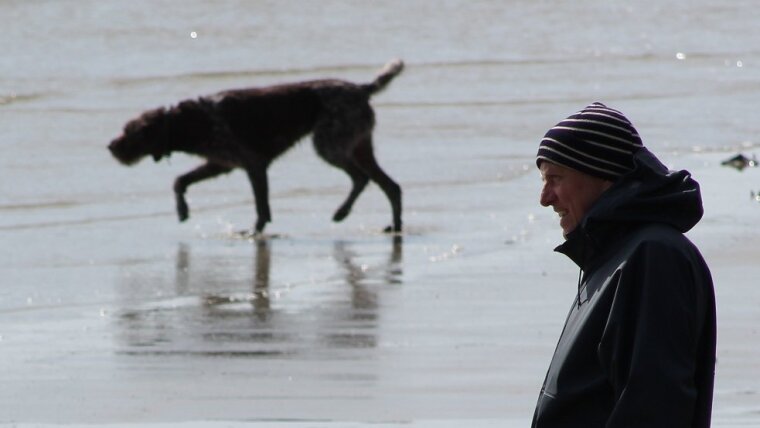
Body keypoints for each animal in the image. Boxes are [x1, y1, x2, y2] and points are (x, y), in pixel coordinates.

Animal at [108, 59, 404, 234]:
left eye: (130, 132)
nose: (110, 146)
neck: (188, 122)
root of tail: (361, 89)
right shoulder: (221, 163)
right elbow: (179, 181)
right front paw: (182, 210)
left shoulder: (254, 164)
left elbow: (261, 208)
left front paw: (255, 232)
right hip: (359, 147)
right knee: (391, 186)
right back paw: (395, 225)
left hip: (330, 147)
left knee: (361, 179)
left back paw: (342, 212)